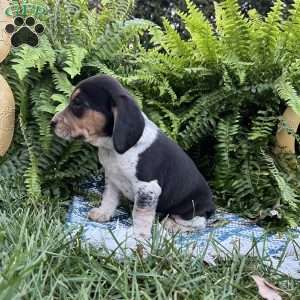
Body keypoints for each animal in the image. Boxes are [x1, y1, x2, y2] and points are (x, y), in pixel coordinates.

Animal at [52, 76, 216, 240]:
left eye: (77, 103)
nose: (52, 123)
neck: (112, 149)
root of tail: (211, 207)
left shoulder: (147, 188)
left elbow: (140, 215)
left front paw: (139, 237)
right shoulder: (112, 178)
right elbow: (109, 198)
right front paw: (103, 213)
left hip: (191, 210)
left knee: (197, 223)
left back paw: (172, 225)